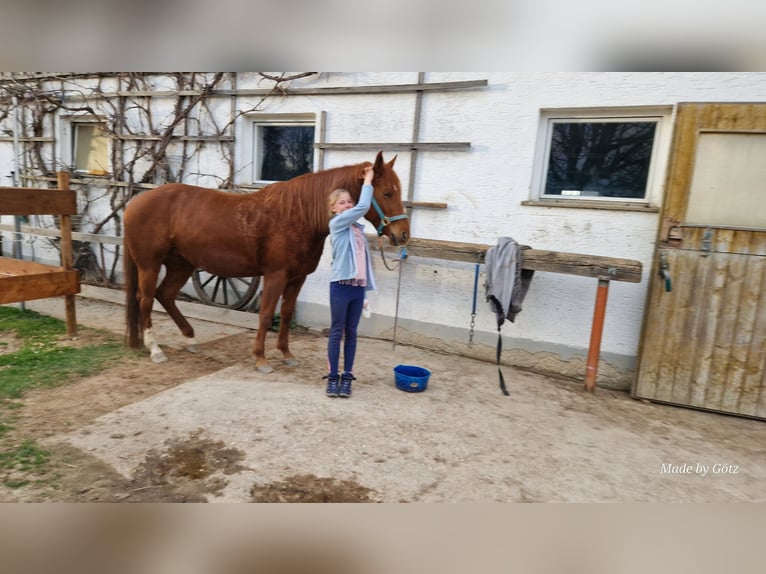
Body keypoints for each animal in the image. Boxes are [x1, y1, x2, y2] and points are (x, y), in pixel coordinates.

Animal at [124, 152, 412, 374]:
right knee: (146, 299)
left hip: (181, 264)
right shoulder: (275, 275)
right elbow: (265, 315)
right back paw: (155, 349)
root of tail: (134, 203)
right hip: (149, 265)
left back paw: (190, 338)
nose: (403, 235)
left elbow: (285, 314)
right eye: (387, 193)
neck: (298, 215)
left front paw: (286, 354)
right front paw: (261, 359)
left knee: (165, 295)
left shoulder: (297, 278)